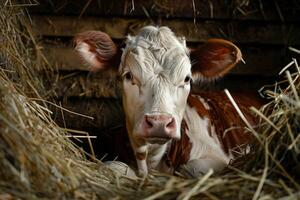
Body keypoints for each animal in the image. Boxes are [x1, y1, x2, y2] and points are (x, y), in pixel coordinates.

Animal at [73, 25, 260, 177]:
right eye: (128, 76)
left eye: (187, 78)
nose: (159, 123)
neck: (152, 160)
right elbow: (112, 167)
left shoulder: (217, 158)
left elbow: (190, 169)